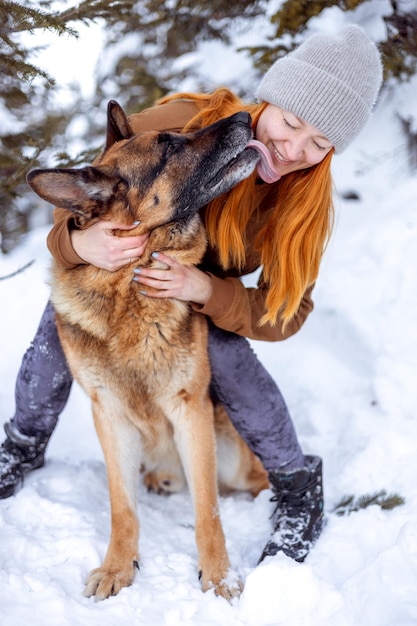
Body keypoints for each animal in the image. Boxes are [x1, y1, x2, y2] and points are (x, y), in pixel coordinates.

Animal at [26, 101, 266, 600]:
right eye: (169, 145)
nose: (245, 117)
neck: (127, 292)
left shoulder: (189, 409)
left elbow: (208, 511)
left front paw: (218, 577)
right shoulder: (110, 415)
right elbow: (122, 507)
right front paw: (118, 568)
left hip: (232, 454)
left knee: (249, 479)